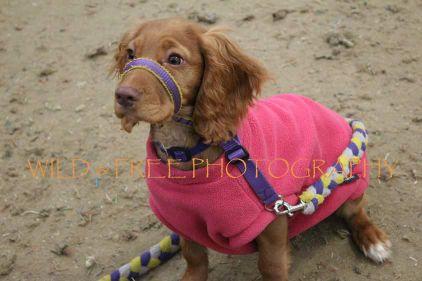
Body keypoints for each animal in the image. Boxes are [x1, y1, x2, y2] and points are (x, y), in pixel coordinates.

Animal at [111, 18, 390, 280]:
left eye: (174, 59)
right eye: (131, 54)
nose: (123, 95)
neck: (184, 150)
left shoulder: (272, 217)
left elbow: (271, 266)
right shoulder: (183, 220)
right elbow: (194, 257)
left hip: (349, 185)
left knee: (356, 212)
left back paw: (374, 240)